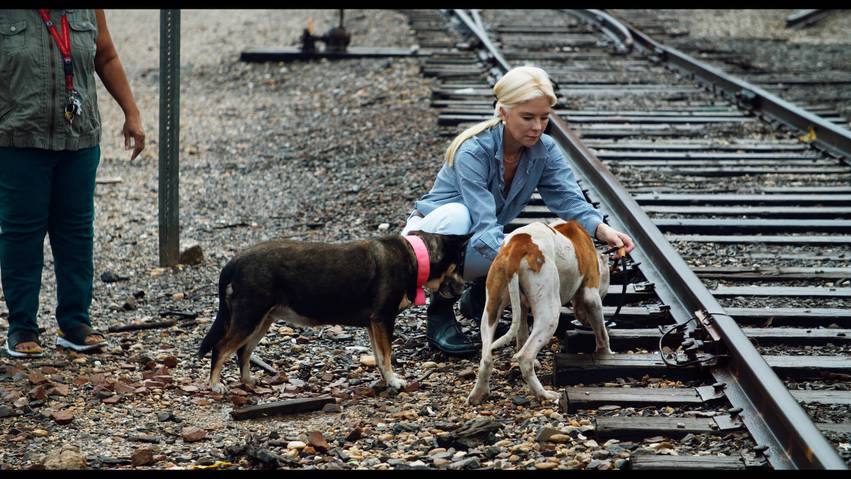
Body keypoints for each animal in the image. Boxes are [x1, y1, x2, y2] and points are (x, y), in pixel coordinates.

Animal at [196, 232, 470, 394]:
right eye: (459, 263)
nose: (464, 287)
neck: (416, 255)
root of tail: (234, 261)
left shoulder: (374, 325)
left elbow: (380, 357)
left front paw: (385, 380)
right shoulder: (383, 319)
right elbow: (387, 356)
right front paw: (393, 381)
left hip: (262, 320)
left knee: (243, 351)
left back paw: (248, 381)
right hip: (249, 317)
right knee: (221, 348)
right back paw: (215, 385)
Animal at [466, 220, 612, 404]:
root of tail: (518, 245)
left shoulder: (521, 307)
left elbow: (522, 335)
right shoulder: (591, 296)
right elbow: (602, 333)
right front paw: (607, 354)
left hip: (491, 308)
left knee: (486, 357)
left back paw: (479, 394)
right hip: (550, 314)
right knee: (525, 356)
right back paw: (543, 394)